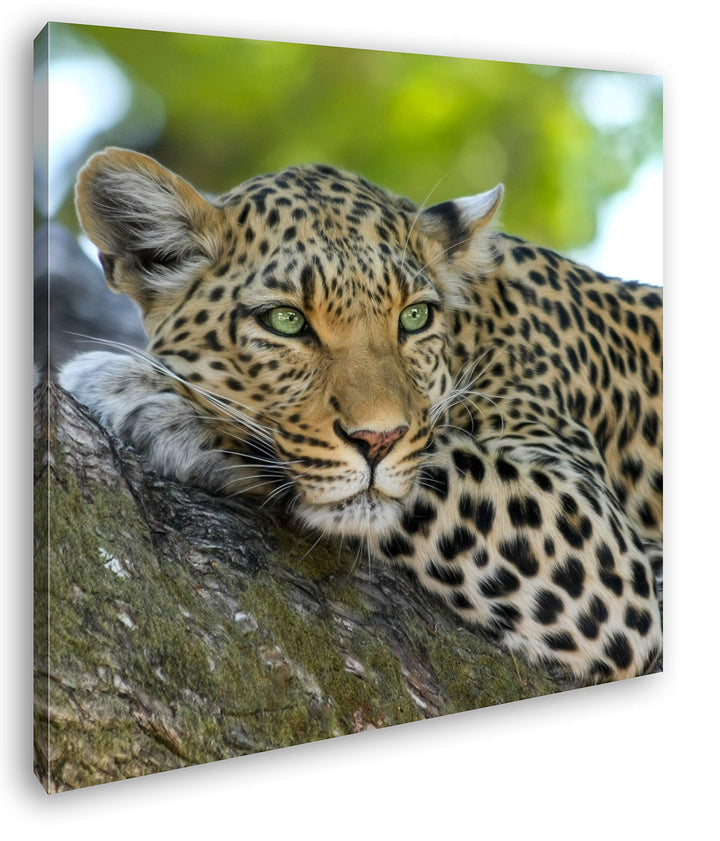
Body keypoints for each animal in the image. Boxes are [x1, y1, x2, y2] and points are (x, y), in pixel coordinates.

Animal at [59, 148, 663, 683]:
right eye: (285, 321)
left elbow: (432, 459)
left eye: (415, 317)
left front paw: (143, 396)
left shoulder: (604, 546)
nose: (379, 440)